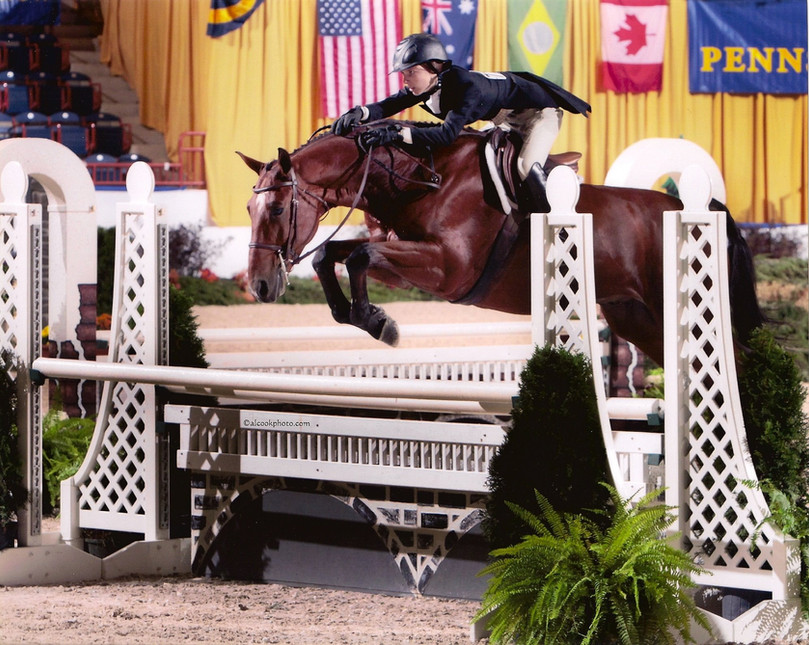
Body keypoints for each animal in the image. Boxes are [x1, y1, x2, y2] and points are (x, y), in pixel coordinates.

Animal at [237, 122, 764, 367]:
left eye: (278, 210)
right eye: (247, 209)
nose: (259, 286)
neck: (418, 179)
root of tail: (709, 208)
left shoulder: (447, 269)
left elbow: (361, 255)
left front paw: (379, 323)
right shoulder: (403, 260)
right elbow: (336, 255)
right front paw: (362, 317)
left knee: (734, 360)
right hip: (637, 319)